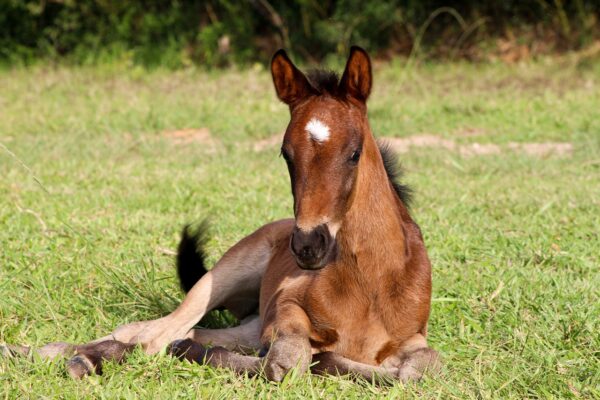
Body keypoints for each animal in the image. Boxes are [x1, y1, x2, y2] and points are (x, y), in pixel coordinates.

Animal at [3, 46, 440, 382]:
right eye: (286, 154)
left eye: (354, 153)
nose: (308, 246)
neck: (369, 282)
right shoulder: (284, 310)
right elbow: (288, 362)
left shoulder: (412, 338)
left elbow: (420, 370)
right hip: (225, 274)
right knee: (150, 333)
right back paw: (60, 356)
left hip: (248, 322)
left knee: (180, 334)